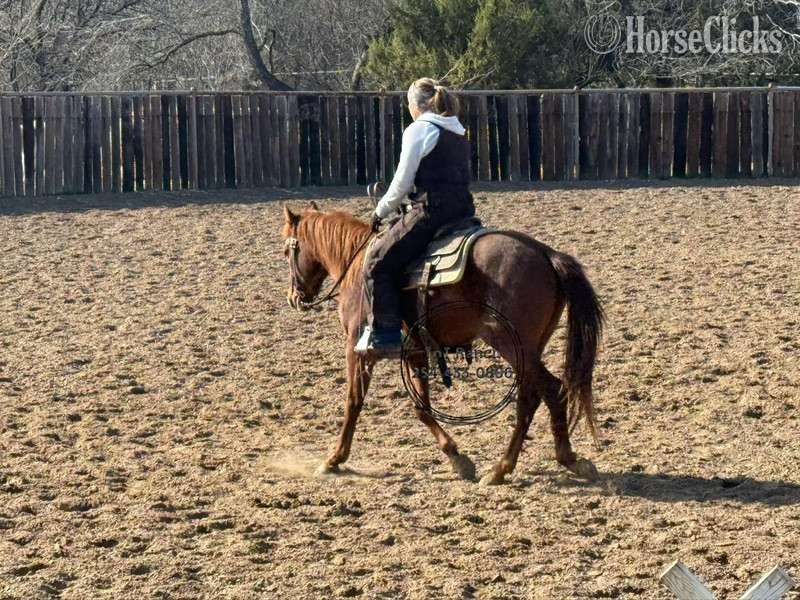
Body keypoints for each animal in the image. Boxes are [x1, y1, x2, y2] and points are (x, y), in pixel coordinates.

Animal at [282, 201, 604, 485]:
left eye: (287, 250)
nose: (294, 298)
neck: (356, 269)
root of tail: (546, 253)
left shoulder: (357, 350)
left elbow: (353, 402)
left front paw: (334, 459)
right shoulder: (415, 353)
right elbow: (422, 408)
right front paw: (457, 458)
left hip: (512, 344)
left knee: (552, 389)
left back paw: (554, 461)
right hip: (530, 348)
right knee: (530, 398)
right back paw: (506, 467)